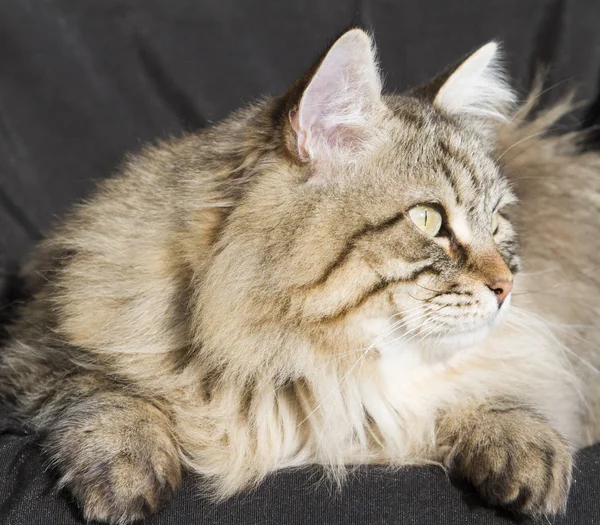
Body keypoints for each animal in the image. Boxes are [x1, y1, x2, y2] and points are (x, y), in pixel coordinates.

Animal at [1, 29, 600, 524]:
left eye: (497, 223)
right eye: (429, 220)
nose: (507, 288)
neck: (315, 367)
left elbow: (496, 397)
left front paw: (526, 450)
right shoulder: (31, 351)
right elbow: (100, 389)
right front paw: (126, 466)